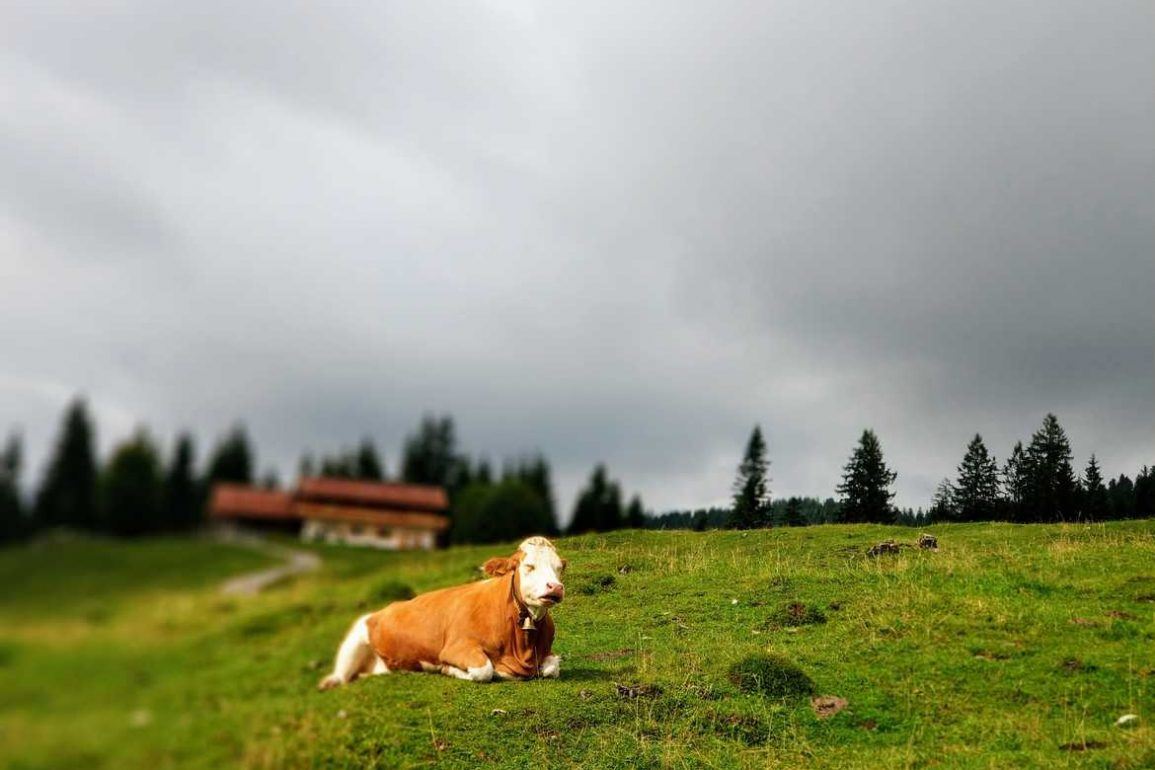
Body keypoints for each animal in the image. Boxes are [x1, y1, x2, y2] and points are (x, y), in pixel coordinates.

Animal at [318, 535, 565, 688]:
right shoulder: (457, 647)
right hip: (356, 639)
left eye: (559, 568)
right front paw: (449, 670)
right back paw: (329, 682)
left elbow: (553, 667)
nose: (555, 587)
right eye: (529, 566)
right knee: (341, 674)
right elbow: (484, 670)